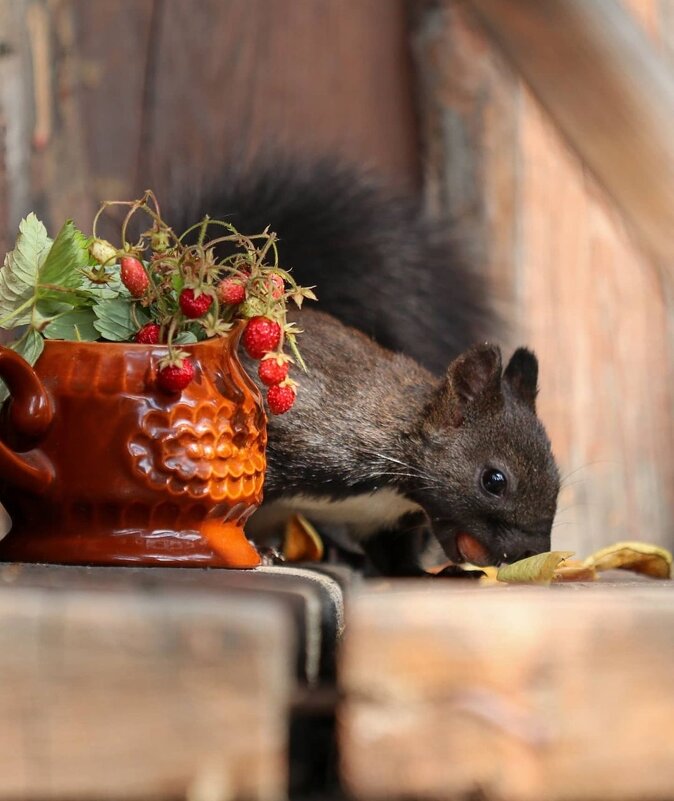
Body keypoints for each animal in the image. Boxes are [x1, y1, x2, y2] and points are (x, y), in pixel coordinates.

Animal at [171, 158, 560, 568]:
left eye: (557, 477)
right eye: (493, 480)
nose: (532, 552)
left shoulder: (388, 521)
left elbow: (395, 555)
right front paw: (252, 550)